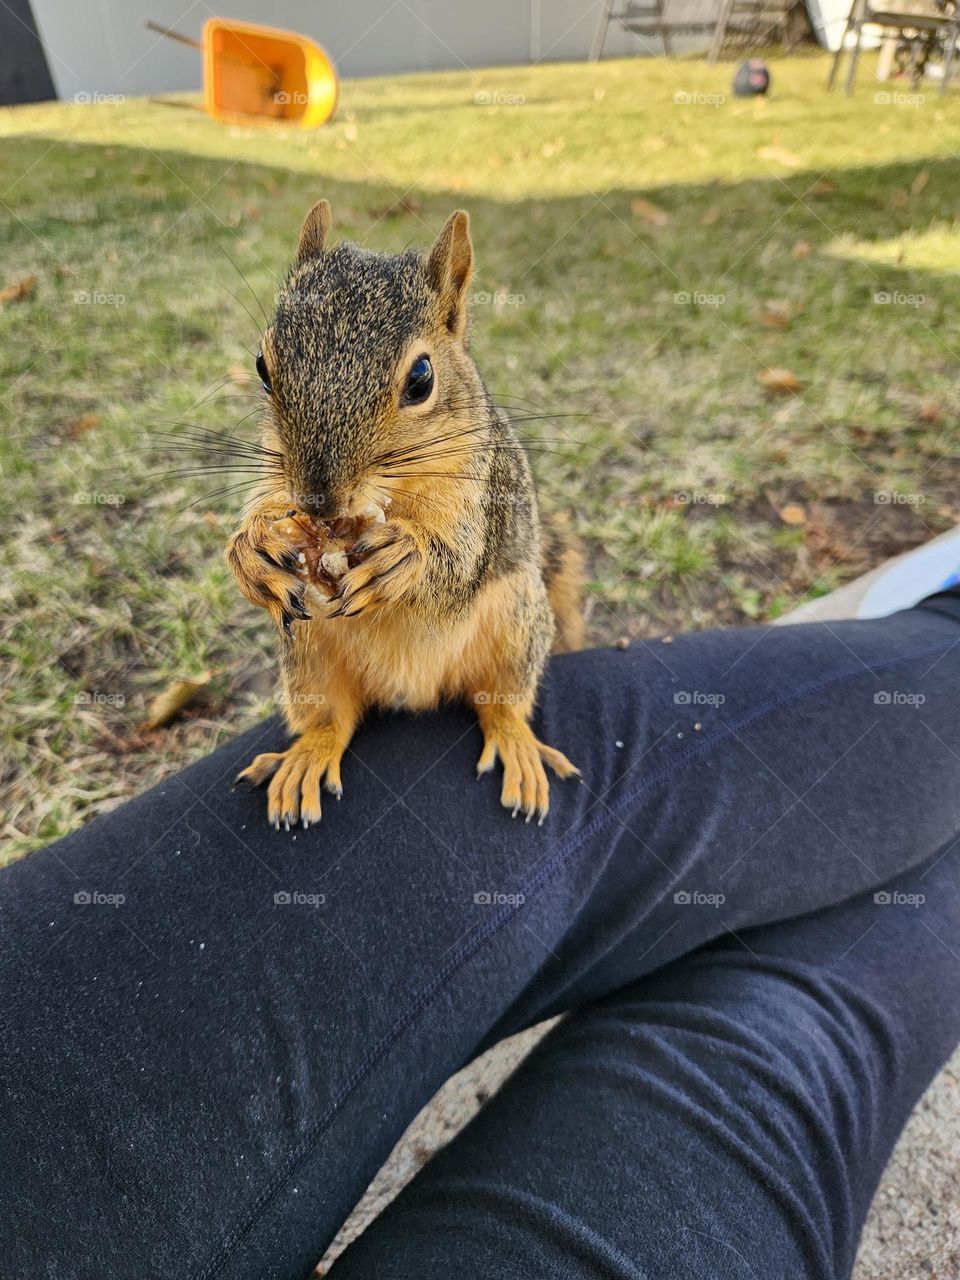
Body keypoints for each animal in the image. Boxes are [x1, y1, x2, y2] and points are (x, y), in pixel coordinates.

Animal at [226, 200, 585, 828]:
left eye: (421, 379)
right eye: (263, 366)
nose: (319, 500)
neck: (390, 497)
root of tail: (412, 691)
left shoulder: (482, 491)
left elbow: (460, 558)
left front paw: (406, 557)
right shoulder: (276, 474)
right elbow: (262, 509)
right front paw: (251, 550)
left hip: (517, 618)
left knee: (501, 704)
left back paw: (517, 744)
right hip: (307, 648)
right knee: (332, 718)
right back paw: (307, 756)